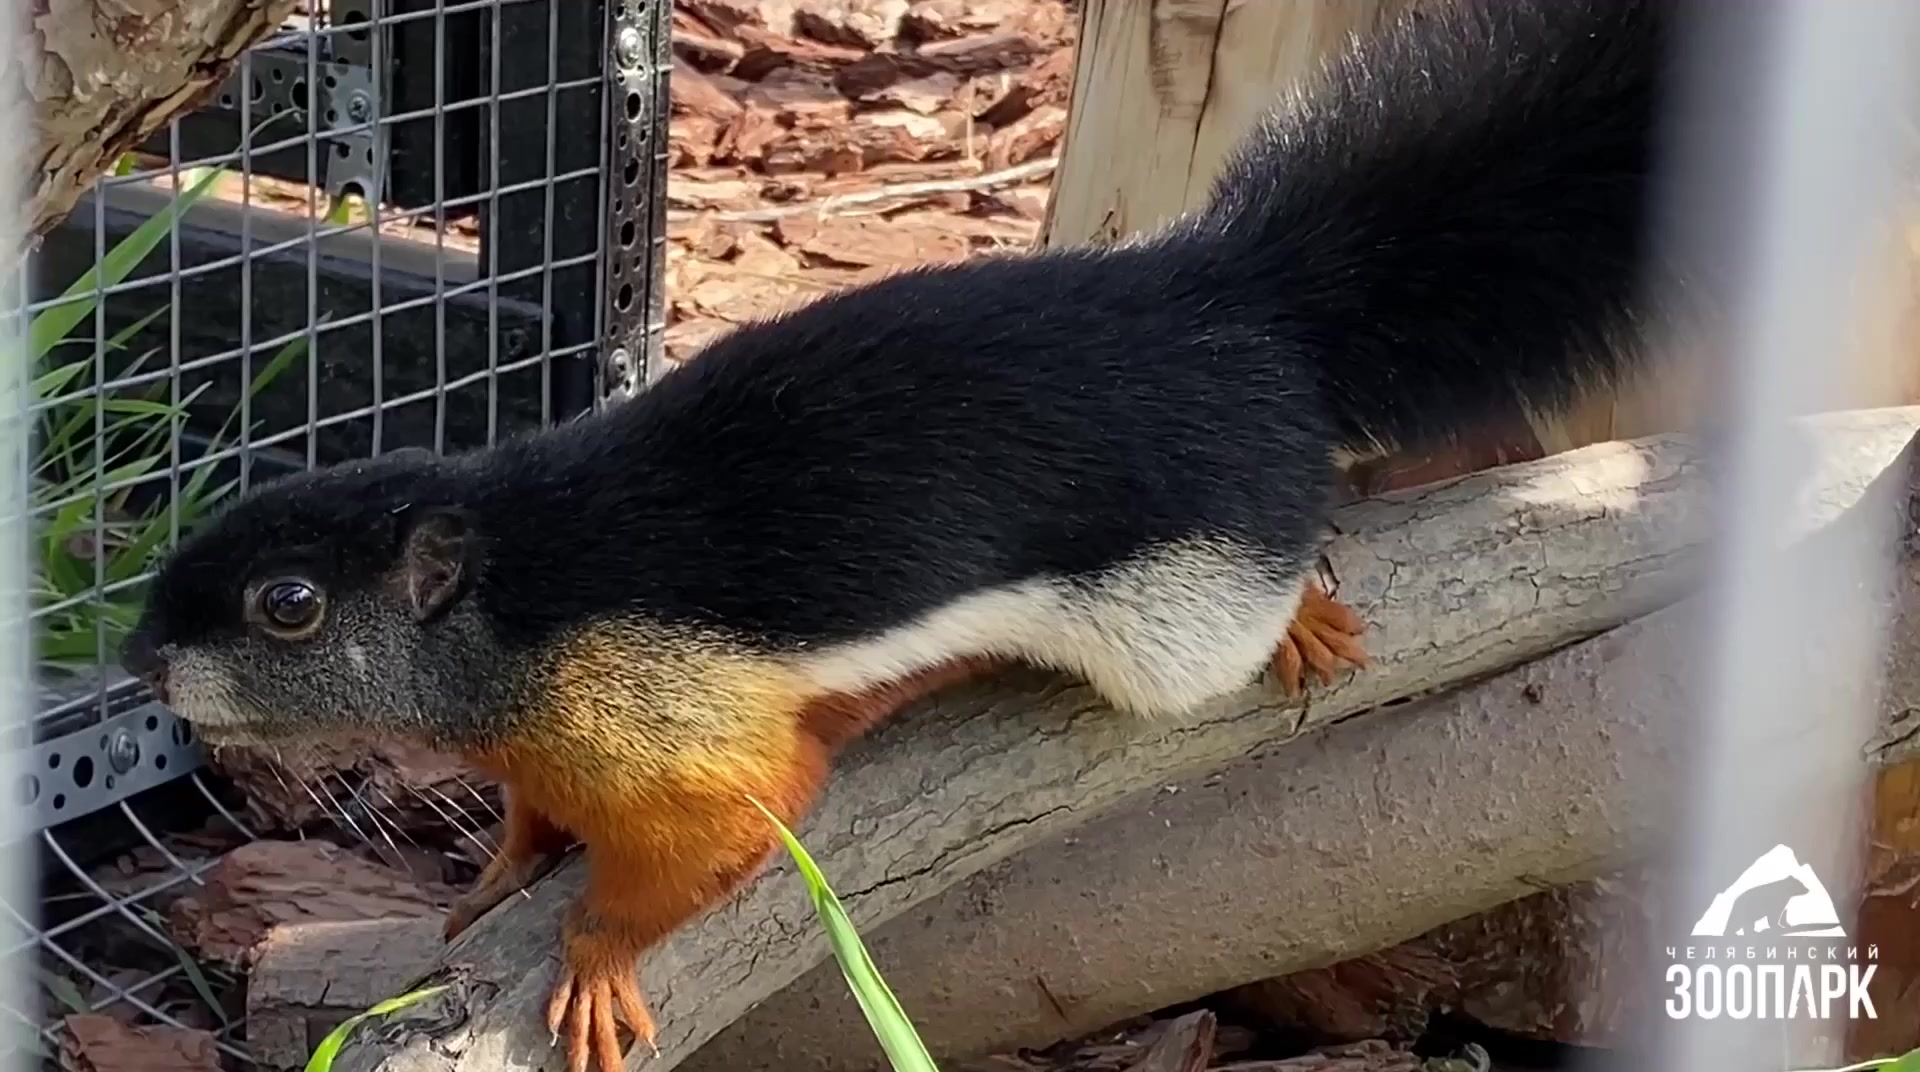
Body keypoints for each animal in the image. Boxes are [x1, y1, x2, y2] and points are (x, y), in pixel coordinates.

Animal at [123, 0, 1681, 1068]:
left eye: (287, 606)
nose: (144, 666)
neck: (516, 593)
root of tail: (1241, 311)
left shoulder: (666, 715)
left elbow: (723, 830)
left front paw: (594, 953)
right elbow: (535, 817)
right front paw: (503, 868)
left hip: (1187, 599)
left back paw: (1302, 615)